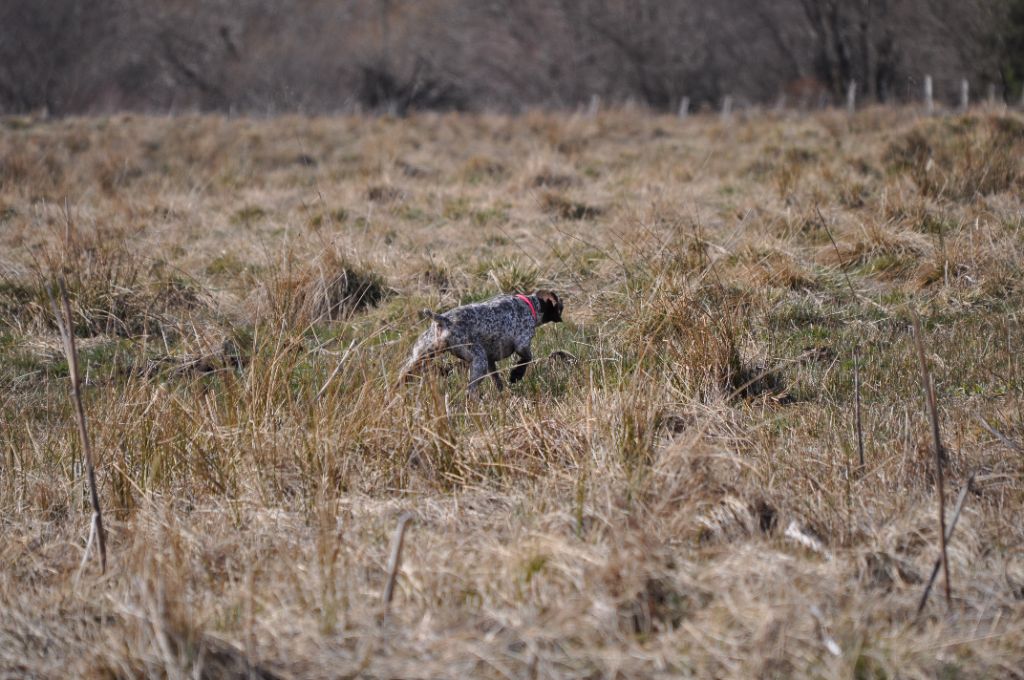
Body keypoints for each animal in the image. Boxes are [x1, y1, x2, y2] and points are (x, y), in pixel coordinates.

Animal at [399, 288, 565, 395]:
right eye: (560, 306)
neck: (530, 305)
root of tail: (443, 320)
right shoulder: (522, 344)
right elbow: (527, 359)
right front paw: (516, 375)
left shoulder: (491, 361)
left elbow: (497, 380)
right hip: (479, 360)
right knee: (470, 391)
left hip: (419, 357)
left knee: (403, 375)